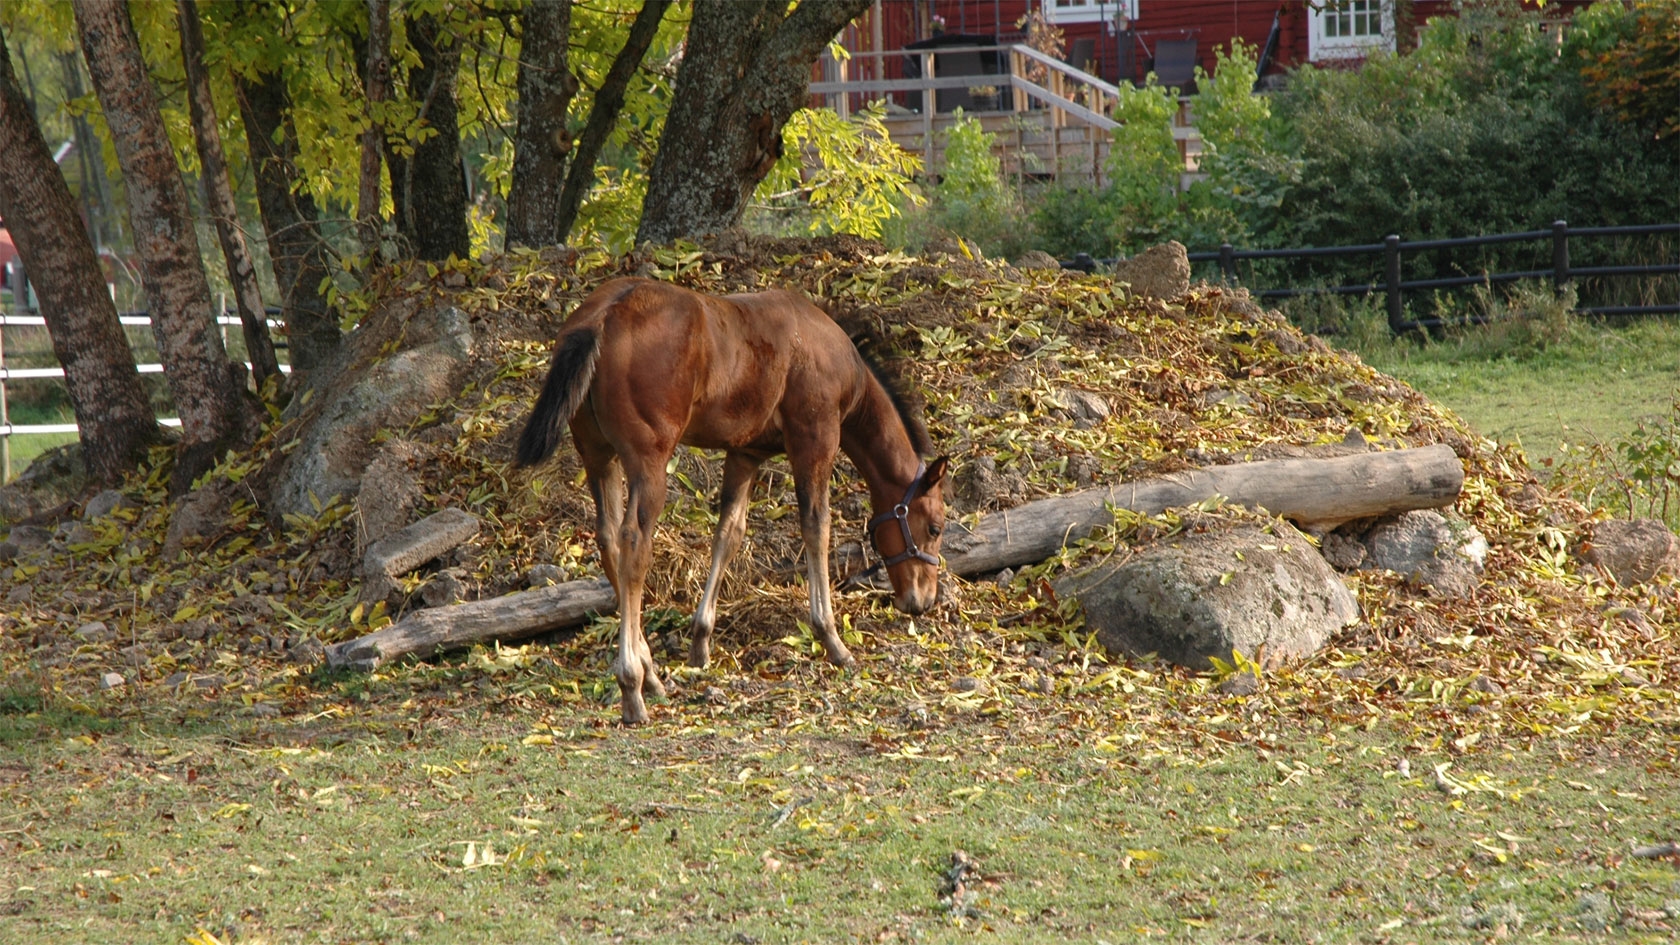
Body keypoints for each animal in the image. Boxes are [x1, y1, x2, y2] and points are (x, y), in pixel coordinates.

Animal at [514, 275, 947, 723]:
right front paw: (832, 639)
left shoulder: (745, 453)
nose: (923, 600)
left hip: (598, 455)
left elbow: (729, 534)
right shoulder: (815, 439)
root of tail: (603, 315)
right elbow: (816, 527)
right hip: (648, 462)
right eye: (935, 527)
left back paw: (651, 674)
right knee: (633, 542)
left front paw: (700, 642)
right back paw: (632, 685)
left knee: (608, 540)